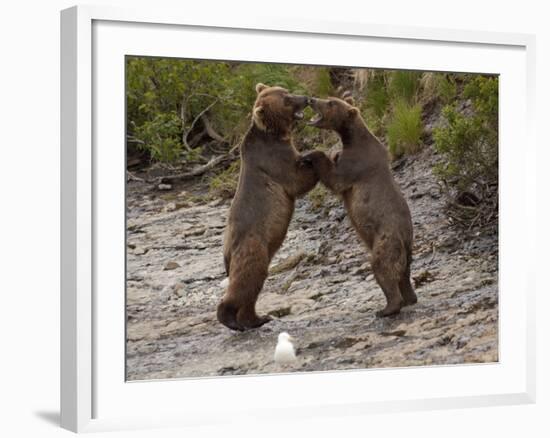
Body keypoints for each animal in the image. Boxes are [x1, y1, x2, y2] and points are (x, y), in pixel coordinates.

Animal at [217, 82, 320, 330]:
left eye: (286, 91)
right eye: (286, 99)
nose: (305, 98)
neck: (276, 134)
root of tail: (226, 252)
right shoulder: (274, 161)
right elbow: (297, 181)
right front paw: (314, 156)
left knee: (254, 286)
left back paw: (257, 319)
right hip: (252, 246)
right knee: (246, 280)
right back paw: (230, 319)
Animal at [302, 94, 418, 316]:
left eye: (330, 102)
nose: (312, 99)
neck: (351, 137)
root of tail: (405, 238)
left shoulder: (356, 163)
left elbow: (335, 178)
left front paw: (309, 154)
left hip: (386, 238)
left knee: (382, 267)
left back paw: (388, 308)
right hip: (405, 249)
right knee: (403, 273)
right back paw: (410, 298)